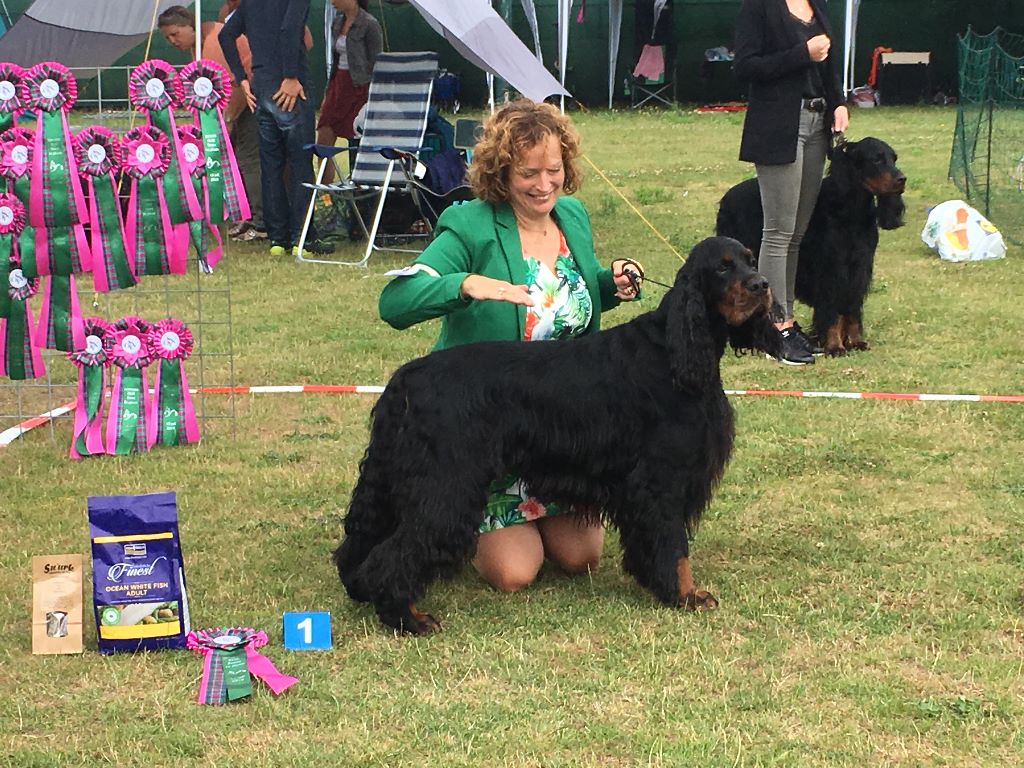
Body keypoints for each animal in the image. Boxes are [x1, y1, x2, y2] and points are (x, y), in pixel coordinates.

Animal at [331, 237, 778, 634]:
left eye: (750, 258)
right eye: (722, 267)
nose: (762, 285)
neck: (674, 351)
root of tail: (407, 376)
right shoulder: (660, 479)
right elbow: (674, 547)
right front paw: (685, 595)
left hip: (400, 479)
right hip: (445, 487)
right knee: (397, 551)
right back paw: (407, 618)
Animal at [712, 137, 905, 358]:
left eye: (894, 158)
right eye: (876, 159)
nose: (902, 179)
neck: (852, 210)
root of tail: (727, 197)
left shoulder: (859, 269)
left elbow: (852, 309)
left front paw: (855, 342)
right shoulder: (831, 271)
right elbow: (832, 311)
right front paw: (835, 346)